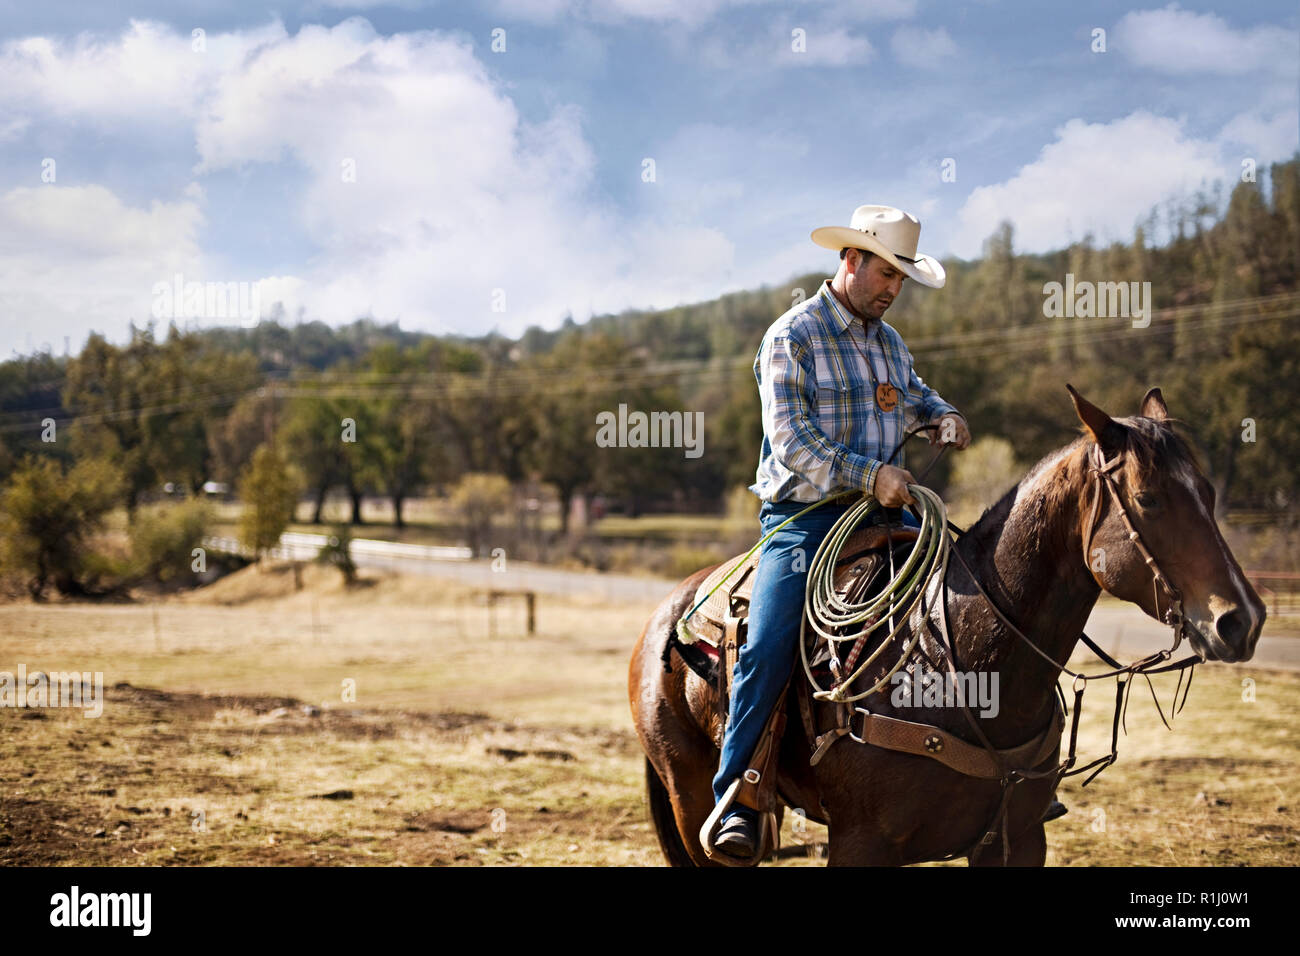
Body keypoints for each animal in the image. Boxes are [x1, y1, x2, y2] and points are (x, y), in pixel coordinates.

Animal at [624, 387, 1263, 868]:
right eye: (1148, 499)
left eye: (1208, 492)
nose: (1242, 620)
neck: (963, 667)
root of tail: (666, 612)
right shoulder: (861, 845)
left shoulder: (1019, 840)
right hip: (689, 796)